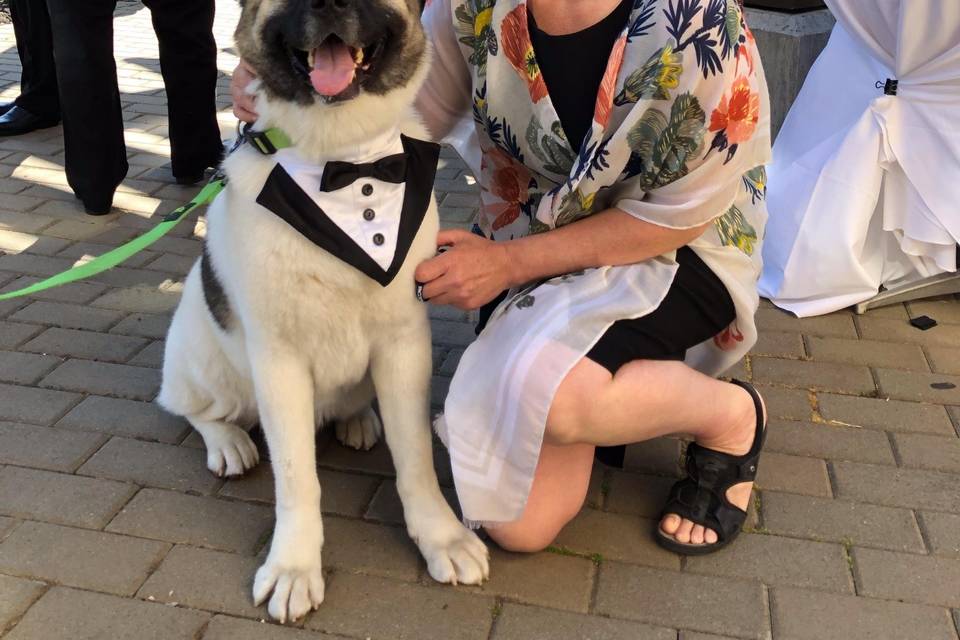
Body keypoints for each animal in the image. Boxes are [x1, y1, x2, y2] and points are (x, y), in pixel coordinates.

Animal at [159, 0, 488, 624]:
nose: (329, 4)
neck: (346, 162)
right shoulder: (279, 363)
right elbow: (296, 478)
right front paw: (293, 566)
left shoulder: (404, 345)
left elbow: (415, 459)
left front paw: (440, 536)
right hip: (206, 360)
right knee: (187, 407)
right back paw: (228, 442)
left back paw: (357, 419)